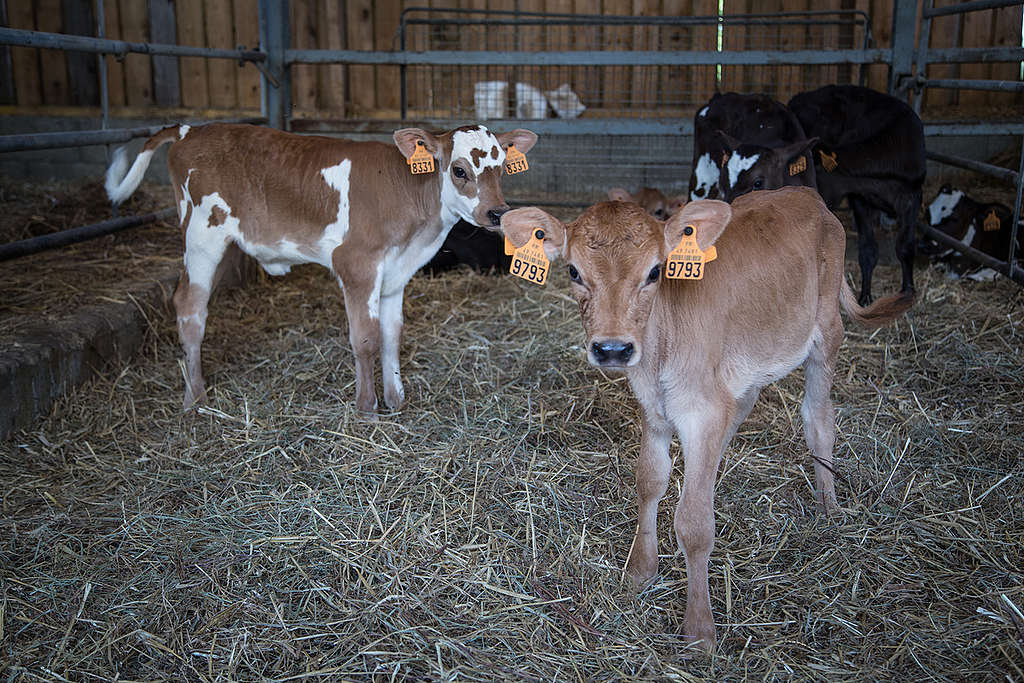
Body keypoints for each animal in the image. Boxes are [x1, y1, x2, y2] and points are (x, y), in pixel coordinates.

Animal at [104, 122, 540, 411]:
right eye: (459, 169)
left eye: (503, 168)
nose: (496, 212)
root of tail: (188, 130)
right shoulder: (357, 264)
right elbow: (365, 339)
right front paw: (367, 407)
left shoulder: (396, 273)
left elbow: (391, 336)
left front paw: (396, 399)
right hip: (201, 237)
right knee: (189, 308)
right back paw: (195, 396)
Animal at [501, 188, 913, 651]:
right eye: (573, 271)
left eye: (655, 271)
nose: (612, 349)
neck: (661, 349)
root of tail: (808, 195)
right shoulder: (655, 408)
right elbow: (649, 481)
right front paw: (641, 570)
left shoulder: (702, 411)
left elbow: (695, 524)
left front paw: (699, 630)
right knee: (743, 406)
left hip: (826, 331)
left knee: (818, 419)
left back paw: (828, 505)